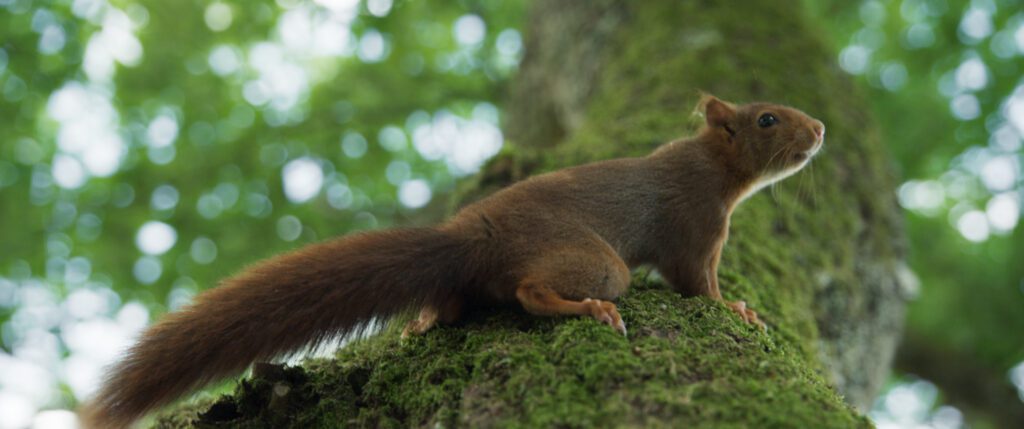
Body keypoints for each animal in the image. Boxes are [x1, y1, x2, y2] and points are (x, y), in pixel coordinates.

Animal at [83, 95, 827, 427]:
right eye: (766, 119)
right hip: (594, 259)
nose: (820, 129)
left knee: (458, 301)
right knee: (530, 293)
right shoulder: (696, 227)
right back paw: (588, 307)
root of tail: (474, 236)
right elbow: (698, 286)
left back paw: (425, 318)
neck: (713, 166)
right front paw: (738, 308)